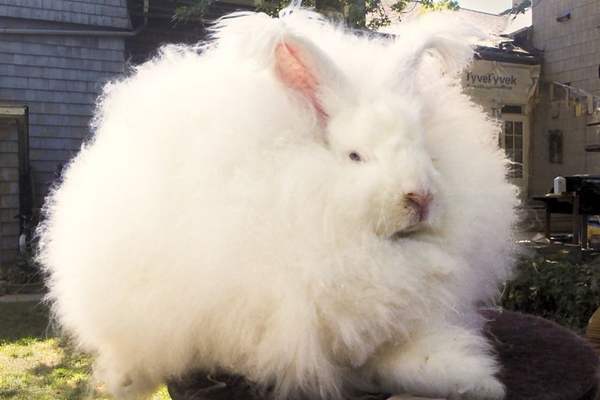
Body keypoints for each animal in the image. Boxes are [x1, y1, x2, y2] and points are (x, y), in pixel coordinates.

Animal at [38, 8, 516, 400]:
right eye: (355, 156)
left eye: (428, 153)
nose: (420, 197)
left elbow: (415, 357)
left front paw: (475, 381)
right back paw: (125, 378)